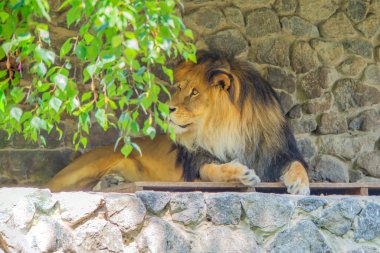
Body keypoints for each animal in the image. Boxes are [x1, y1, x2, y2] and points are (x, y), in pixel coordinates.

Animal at [47, 50, 310, 195]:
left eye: (194, 92)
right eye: (180, 88)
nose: (168, 109)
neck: (231, 128)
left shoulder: (277, 152)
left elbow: (298, 165)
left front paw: (301, 185)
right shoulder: (197, 163)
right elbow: (216, 170)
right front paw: (241, 173)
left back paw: (111, 181)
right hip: (89, 166)